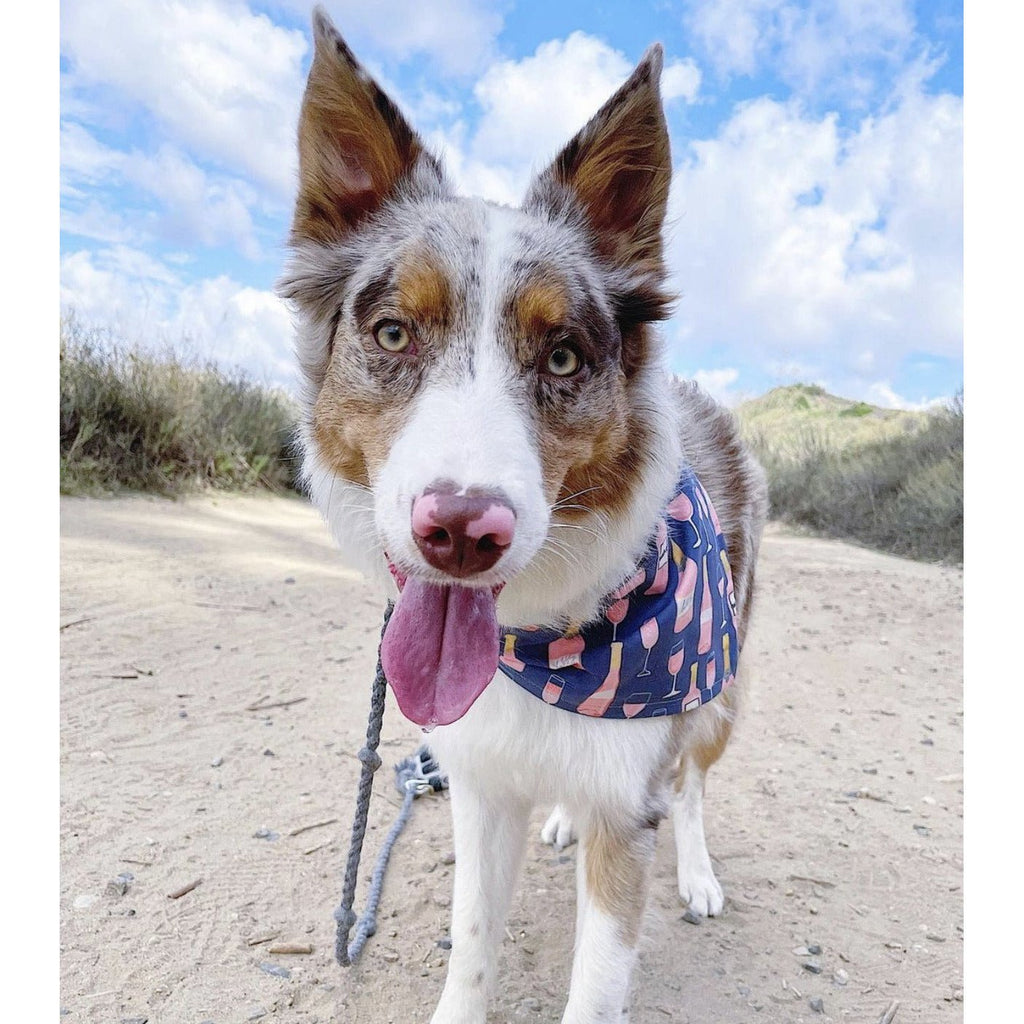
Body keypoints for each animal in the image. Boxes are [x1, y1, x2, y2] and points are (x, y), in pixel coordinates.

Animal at [280, 9, 770, 1024]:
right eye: (393, 334)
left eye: (563, 357)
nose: (463, 533)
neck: (551, 639)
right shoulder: (478, 787)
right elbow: (472, 946)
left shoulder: (628, 814)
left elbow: (600, 973)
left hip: (719, 687)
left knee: (693, 782)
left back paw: (698, 871)